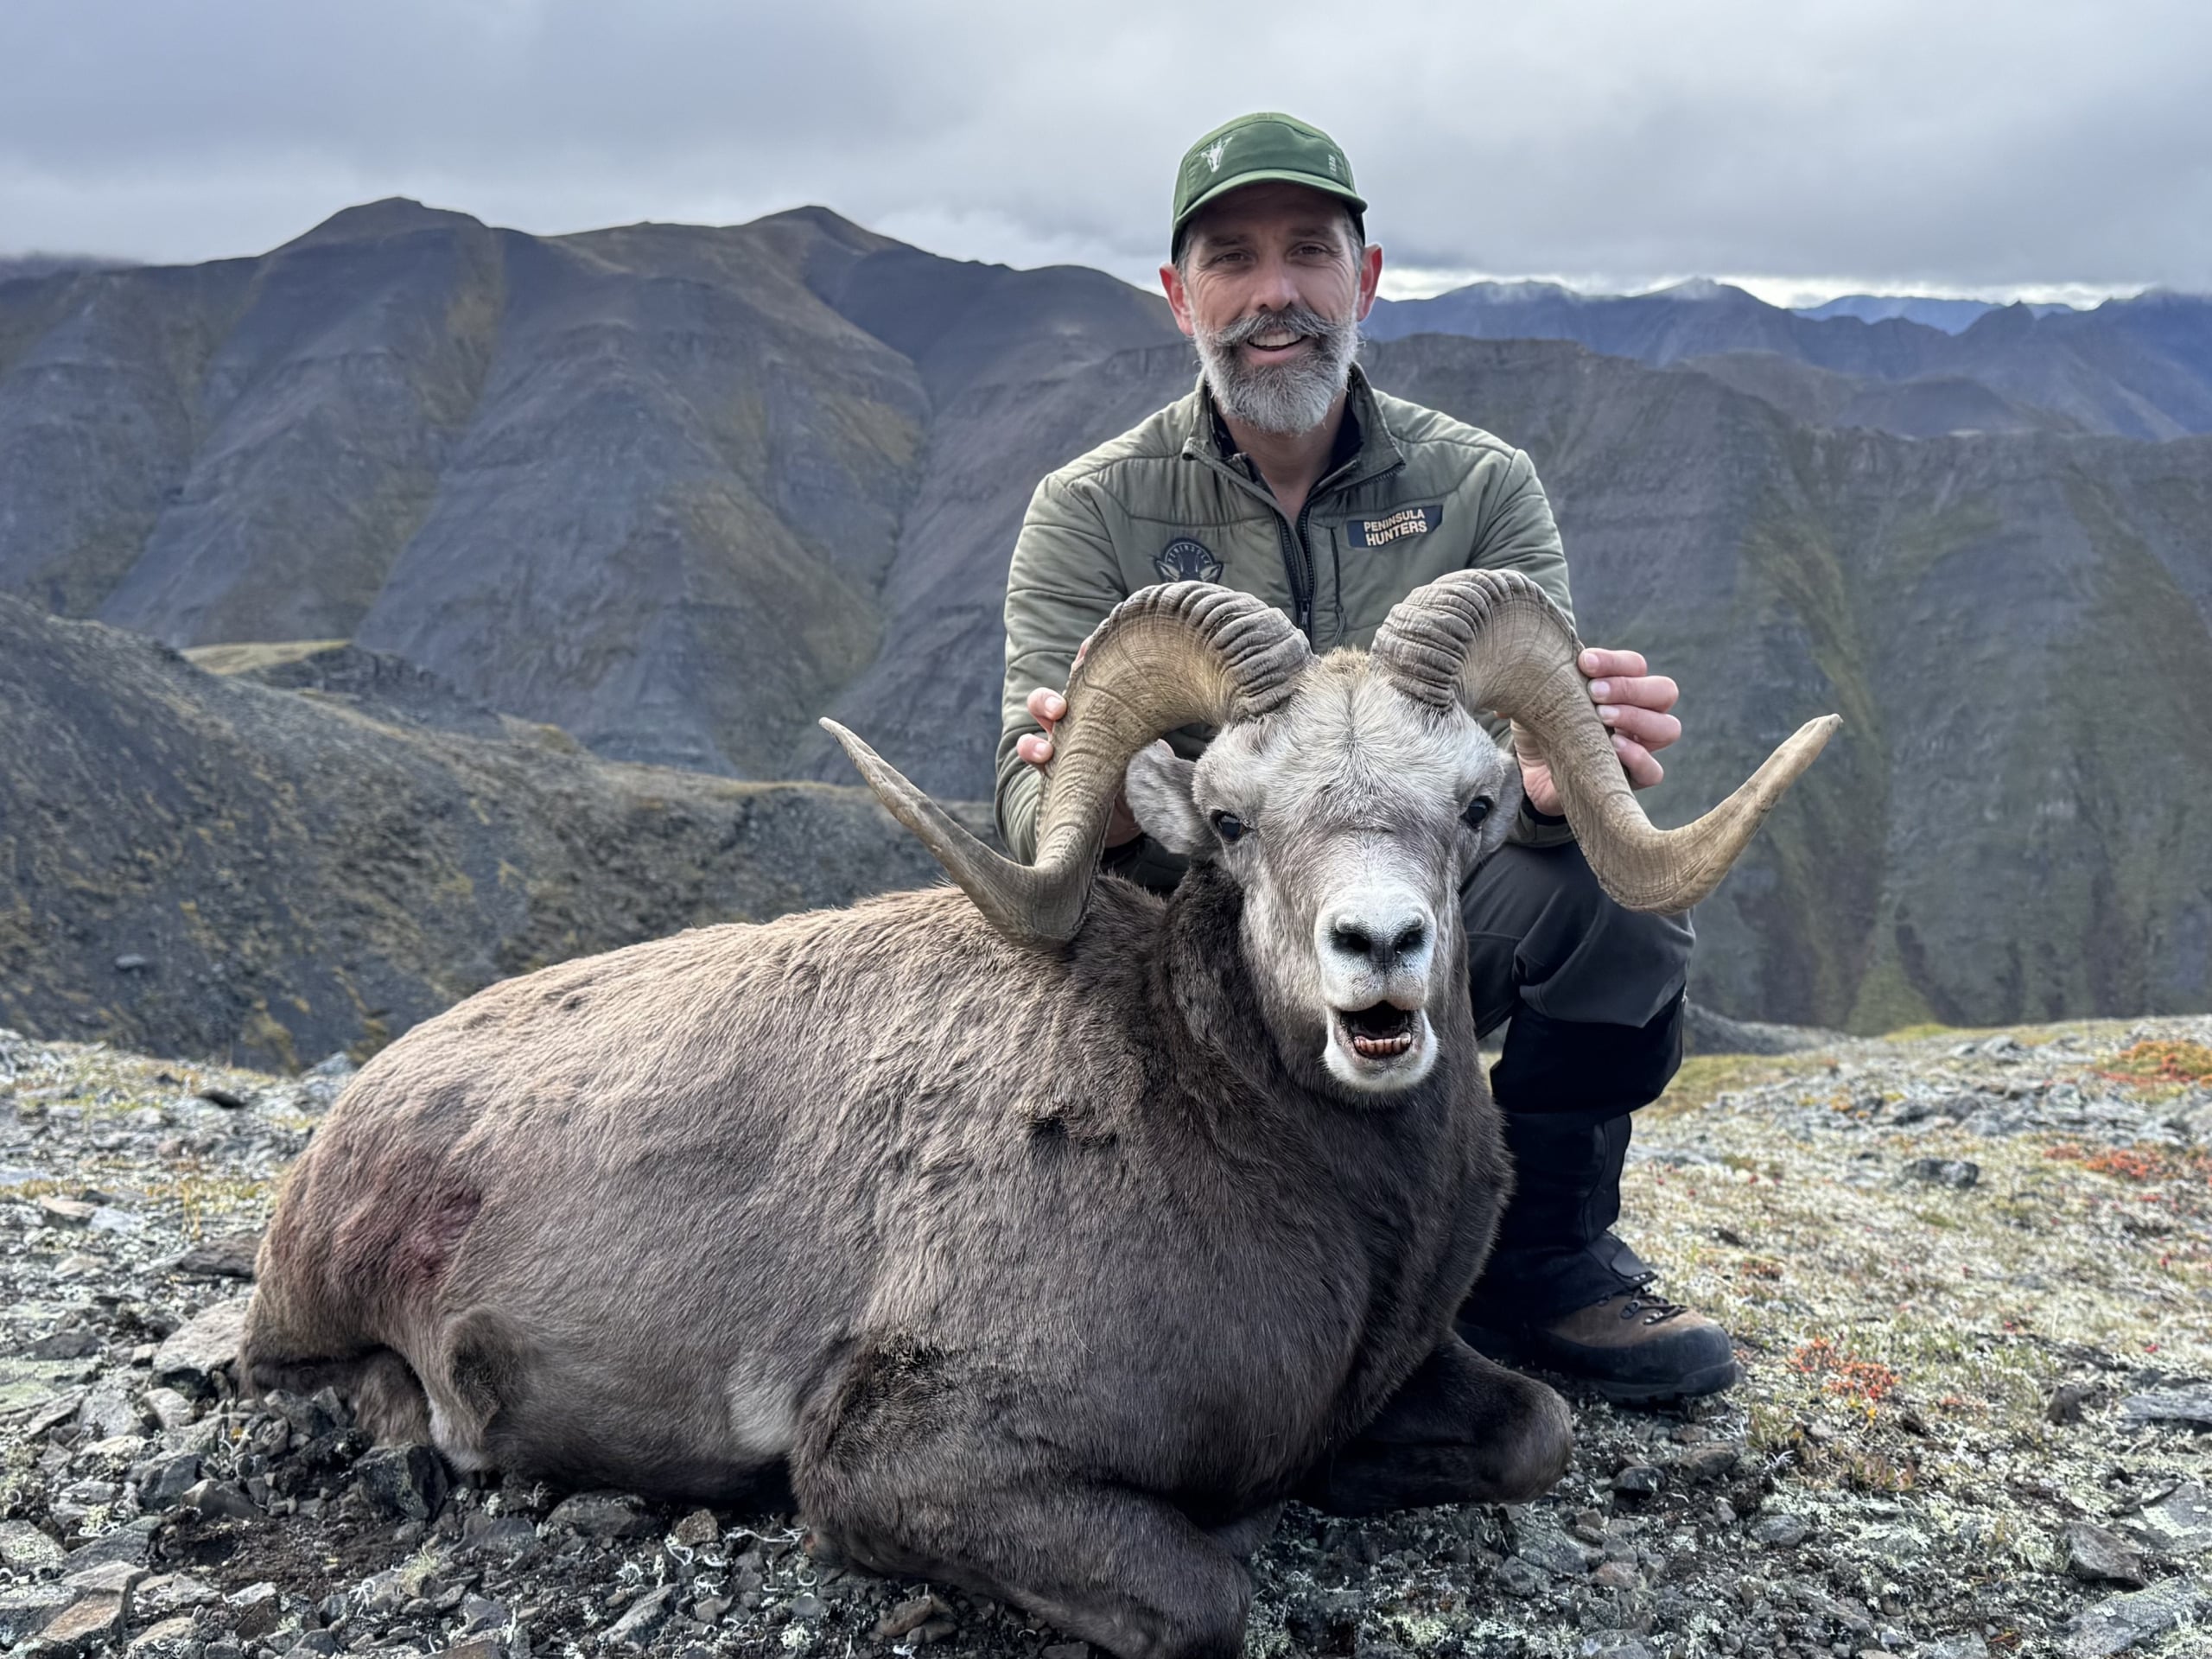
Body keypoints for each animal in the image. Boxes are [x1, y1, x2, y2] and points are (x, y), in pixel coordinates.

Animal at [242, 570, 1836, 1659]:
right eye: (1235, 821)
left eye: (1478, 807)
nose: (1377, 953)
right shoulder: (907, 1464)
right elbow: (1206, 1593)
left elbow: (1536, 1431)